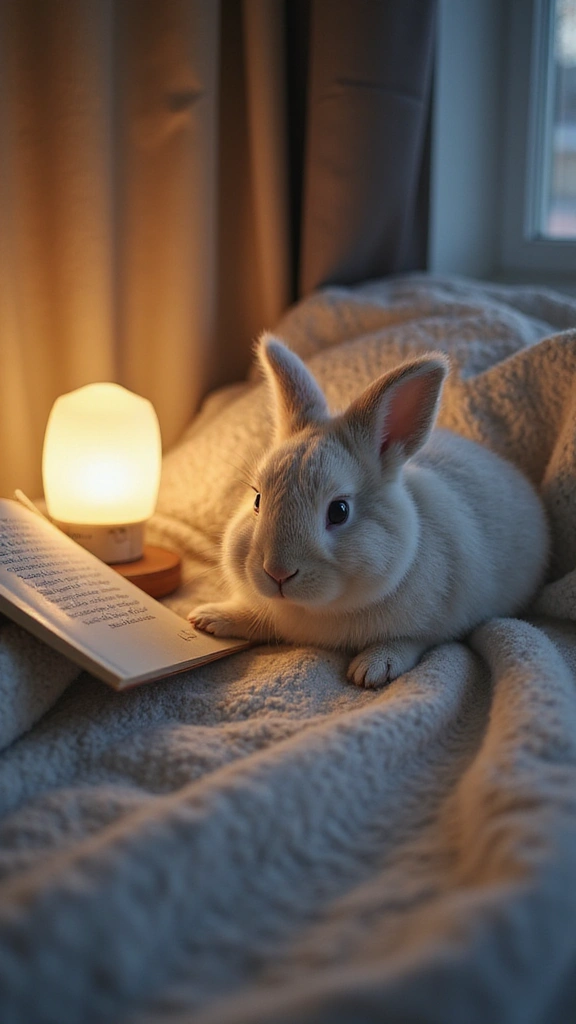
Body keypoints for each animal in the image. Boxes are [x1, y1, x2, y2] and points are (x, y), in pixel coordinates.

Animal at [189, 334, 549, 688]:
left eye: (339, 511)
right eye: (257, 500)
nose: (277, 573)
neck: (315, 610)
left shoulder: (435, 624)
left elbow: (410, 642)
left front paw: (372, 669)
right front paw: (208, 618)